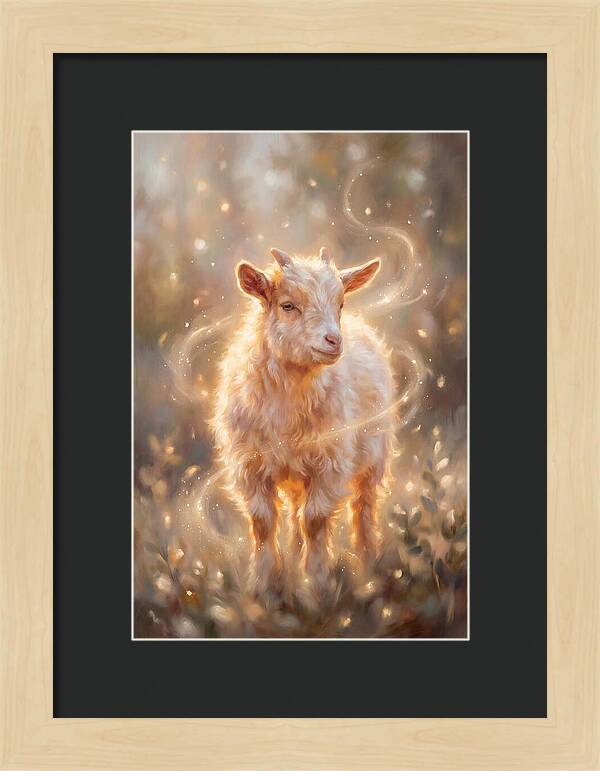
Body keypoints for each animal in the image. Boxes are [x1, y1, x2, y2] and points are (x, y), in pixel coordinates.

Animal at [212, 246, 395, 597]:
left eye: (341, 303)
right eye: (288, 305)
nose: (333, 341)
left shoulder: (330, 465)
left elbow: (315, 521)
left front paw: (316, 582)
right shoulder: (250, 466)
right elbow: (263, 522)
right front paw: (263, 584)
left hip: (372, 461)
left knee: (362, 509)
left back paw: (368, 566)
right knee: (295, 511)